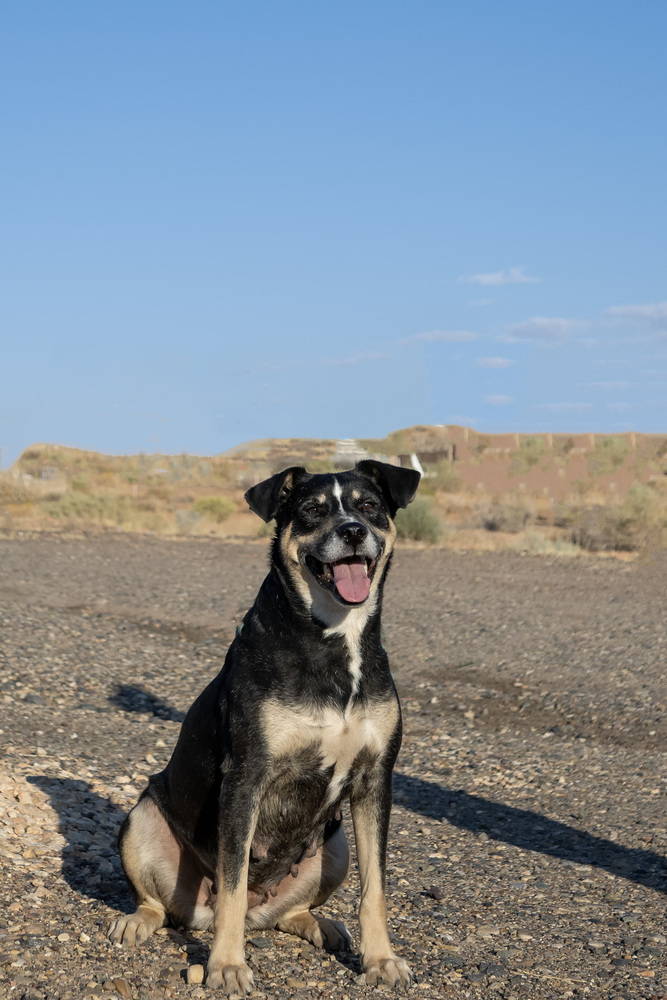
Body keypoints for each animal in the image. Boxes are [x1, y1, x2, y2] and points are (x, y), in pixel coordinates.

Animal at [110, 460, 420, 992]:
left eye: (369, 506)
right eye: (313, 510)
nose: (352, 532)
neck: (333, 637)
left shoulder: (375, 781)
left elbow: (374, 889)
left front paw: (380, 960)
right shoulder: (246, 778)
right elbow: (233, 886)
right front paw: (227, 966)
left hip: (335, 843)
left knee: (286, 913)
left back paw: (319, 925)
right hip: (143, 818)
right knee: (166, 904)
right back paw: (138, 921)